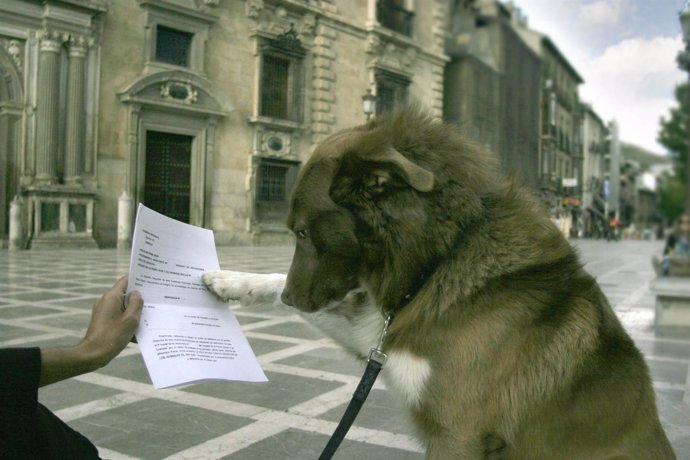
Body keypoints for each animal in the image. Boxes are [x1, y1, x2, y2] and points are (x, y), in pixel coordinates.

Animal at [202, 108, 676, 460]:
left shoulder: (458, 434)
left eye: (301, 231)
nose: (290, 298)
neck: (443, 257)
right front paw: (228, 281)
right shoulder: (384, 337)